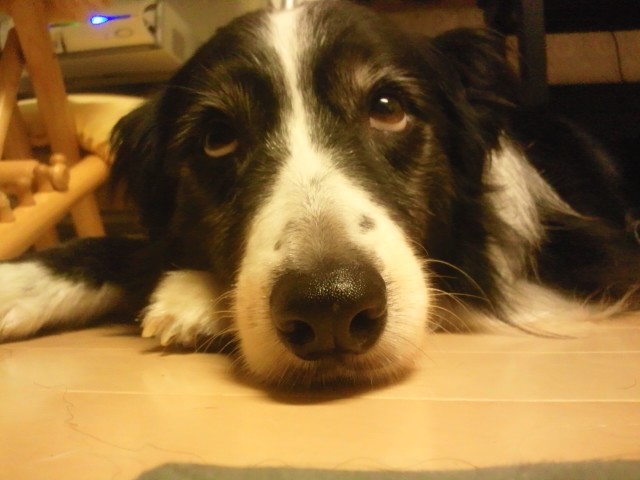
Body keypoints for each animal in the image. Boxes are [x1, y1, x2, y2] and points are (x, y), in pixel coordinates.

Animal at [1, 0, 639, 389]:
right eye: (217, 138)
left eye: (387, 107)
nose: (328, 308)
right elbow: (126, 248)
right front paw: (21, 282)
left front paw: (190, 298)